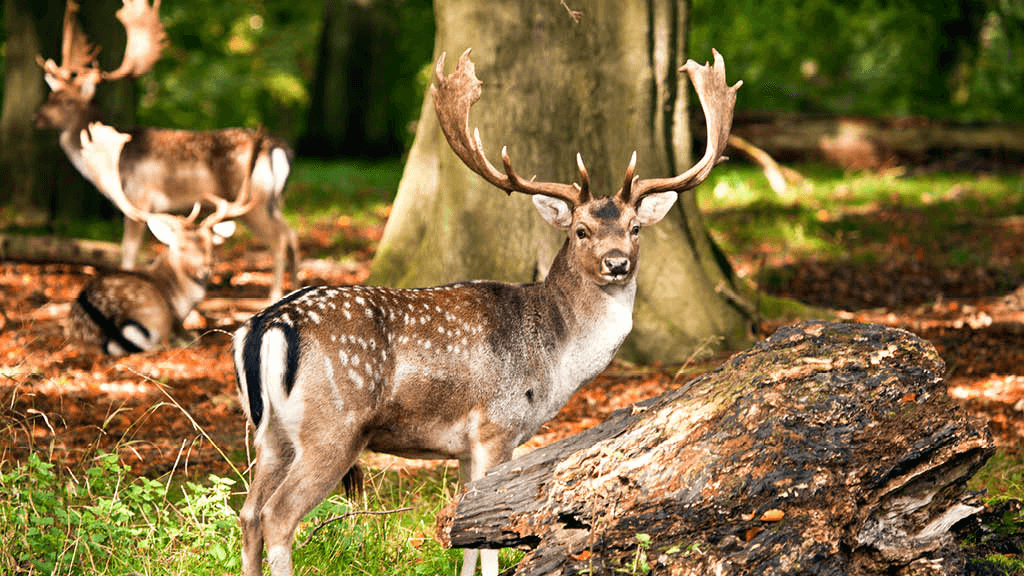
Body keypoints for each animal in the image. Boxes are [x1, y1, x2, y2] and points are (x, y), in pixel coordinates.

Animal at [35, 0, 300, 302]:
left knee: (279, 239)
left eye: (67, 100)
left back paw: (274, 294)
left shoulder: (139, 198)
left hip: (254, 201)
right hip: (273, 200)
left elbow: (128, 253)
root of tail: (278, 147)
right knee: (292, 233)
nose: (37, 118)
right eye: (50, 96)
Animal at [65, 122, 255, 356]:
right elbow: (192, 336)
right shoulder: (174, 320)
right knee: (162, 343)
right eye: (180, 247)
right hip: (156, 313)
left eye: (212, 245)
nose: (206, 269)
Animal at [230, 48, 740, 576]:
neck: (553, 358)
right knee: (277, 515)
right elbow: (488, 536)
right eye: (580, 230)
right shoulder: (498, 425)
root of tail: (265, 325)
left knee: (247, 513)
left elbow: (466, 533)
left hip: (269, 434)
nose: (617, 263)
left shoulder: (463, 448)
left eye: (636, 227)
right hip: (333, 426)